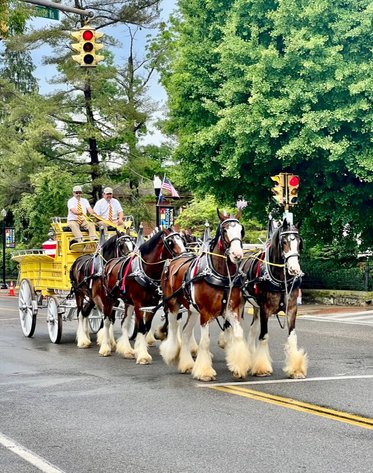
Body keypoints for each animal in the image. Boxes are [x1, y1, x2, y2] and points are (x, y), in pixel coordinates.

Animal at [159, 209, 248, 380]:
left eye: (241, 230)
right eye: (224, 230)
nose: (237, 254)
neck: (220, 275)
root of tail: (175, 259)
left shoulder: (231, 310)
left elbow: (239, 334)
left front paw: (238, 367)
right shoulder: (205, 313)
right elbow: (205, 342)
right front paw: (205, 372)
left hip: (193, 311)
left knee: (185, 333)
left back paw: (186, 364)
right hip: (172, 305)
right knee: (173, 329)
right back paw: (172, 354)